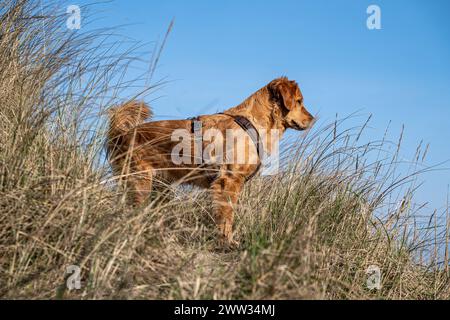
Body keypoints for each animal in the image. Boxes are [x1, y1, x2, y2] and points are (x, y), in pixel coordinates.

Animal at [107, 77, 314, 248]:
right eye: (299, 101)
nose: (313, 119)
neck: (253, 124)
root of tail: (122, 134)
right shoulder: (228, 181)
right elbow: (226, 217)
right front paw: (226, 242)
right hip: (140, 182)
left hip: (161, 187)